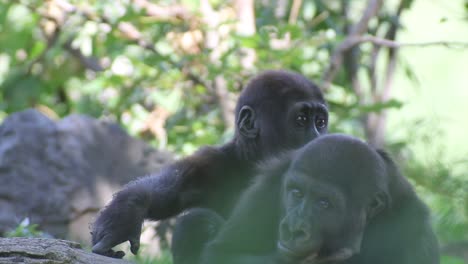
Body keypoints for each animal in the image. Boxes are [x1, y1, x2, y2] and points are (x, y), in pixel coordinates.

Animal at [89, 70, 328, 258]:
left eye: (320, 122)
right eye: (301, 120)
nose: (318, 138)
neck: (253, 161)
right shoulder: (210, 165)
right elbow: (166, 190)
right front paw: (125, 214)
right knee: (195, 222)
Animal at [203, 134, 440, 264]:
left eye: (324, 203)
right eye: (296, 193)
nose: (294, 228)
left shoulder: (412, 229)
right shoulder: (267, 187)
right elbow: (221, 254)